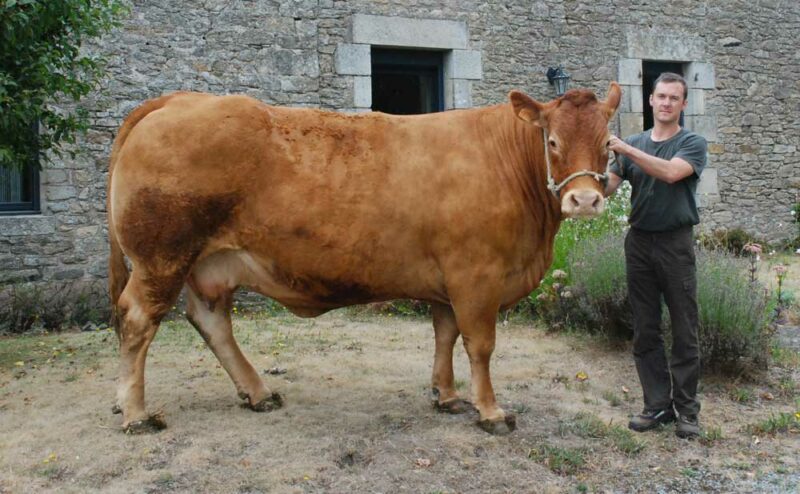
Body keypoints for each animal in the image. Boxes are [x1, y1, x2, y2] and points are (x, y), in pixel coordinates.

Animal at [106, 83, 620, 434]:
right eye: (552, 142)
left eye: (607, 143)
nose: (585, 201)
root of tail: (178, 100)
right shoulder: (476, 275)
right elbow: (480, 345)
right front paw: (491, 411)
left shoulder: (447, 281)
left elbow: (445, 335)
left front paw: (447, 395)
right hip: (162, 257)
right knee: (138, 320)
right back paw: (136, 413)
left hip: (207, 263)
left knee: (211, 321)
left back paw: (257, 392)